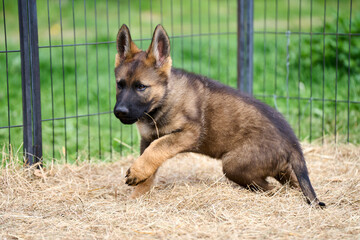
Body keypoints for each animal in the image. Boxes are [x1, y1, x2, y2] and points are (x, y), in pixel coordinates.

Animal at [114, 24, 324, 208]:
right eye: (119, 84)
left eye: (141, 87)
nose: (119, 112)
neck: (163, 100)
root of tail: (292, 141)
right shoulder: (147, 139)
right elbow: (150, 166)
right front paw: (138, 195)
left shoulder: (189, 133)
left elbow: (157, 149)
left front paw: (137, 172)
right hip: (279, 168)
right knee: (292, 183)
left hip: (234, 164)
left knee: (271, 188)